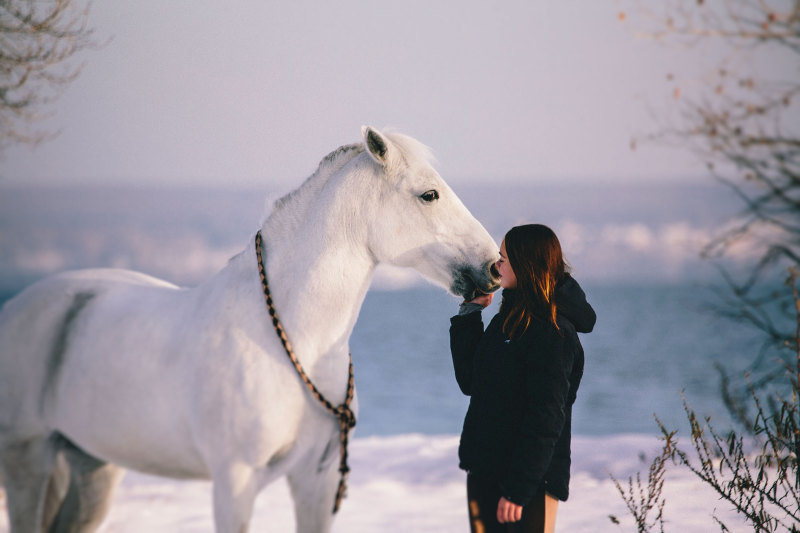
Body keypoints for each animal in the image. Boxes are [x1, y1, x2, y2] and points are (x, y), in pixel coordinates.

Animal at [0, 127, 500, 528]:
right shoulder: (234, 483)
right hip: (29, 460)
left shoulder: (315, 483)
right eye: (429, 195)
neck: (293, 343)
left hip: (93, 469)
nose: (495, 266)